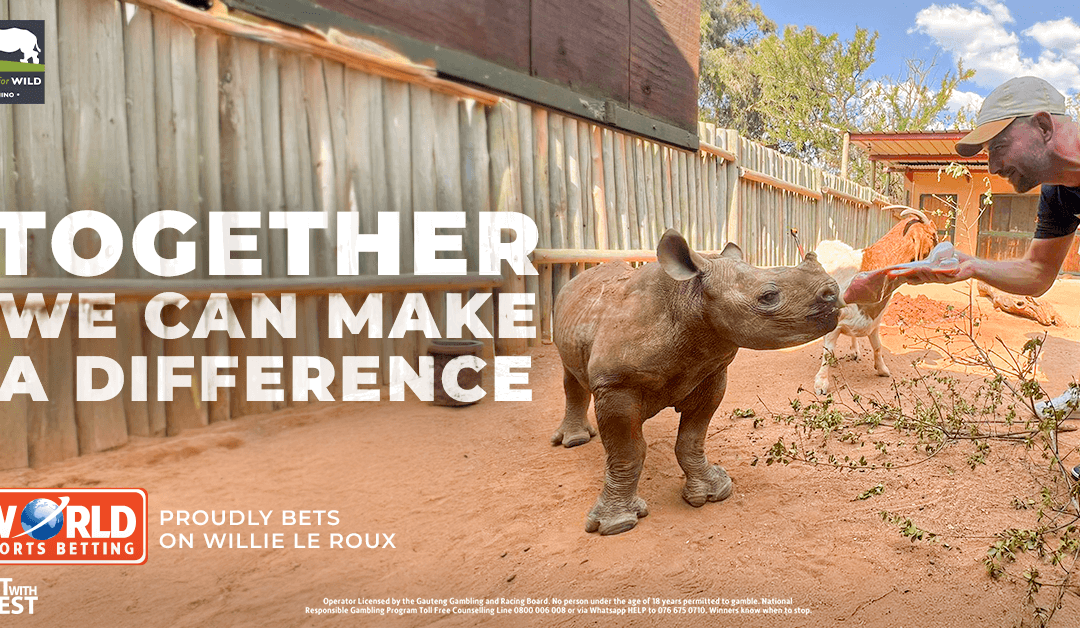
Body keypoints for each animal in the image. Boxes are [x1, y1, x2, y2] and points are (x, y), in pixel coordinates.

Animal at [552, 229, 841, 535]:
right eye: (768, 296)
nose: (834, 293)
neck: (690, 300)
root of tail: (579, 277)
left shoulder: (711, 372)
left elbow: (692, 439)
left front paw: (713, 491)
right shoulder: (616, 383)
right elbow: (626, 452)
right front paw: (617, 524)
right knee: (570, 376)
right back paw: (575, 441)